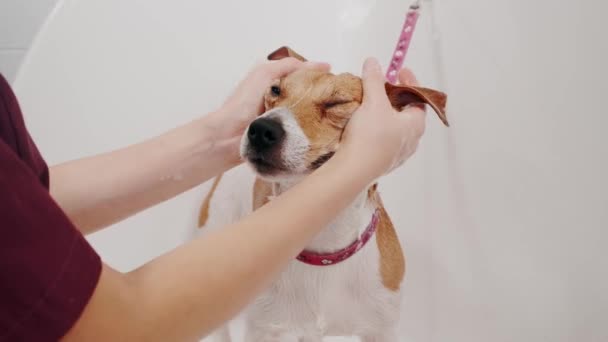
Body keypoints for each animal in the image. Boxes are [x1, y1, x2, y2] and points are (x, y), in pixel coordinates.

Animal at [197, 46, 448, 342]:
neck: (324, 249)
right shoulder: (268, 330)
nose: (261, 129)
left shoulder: (382, 329)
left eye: (336, 103)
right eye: (275, 90)